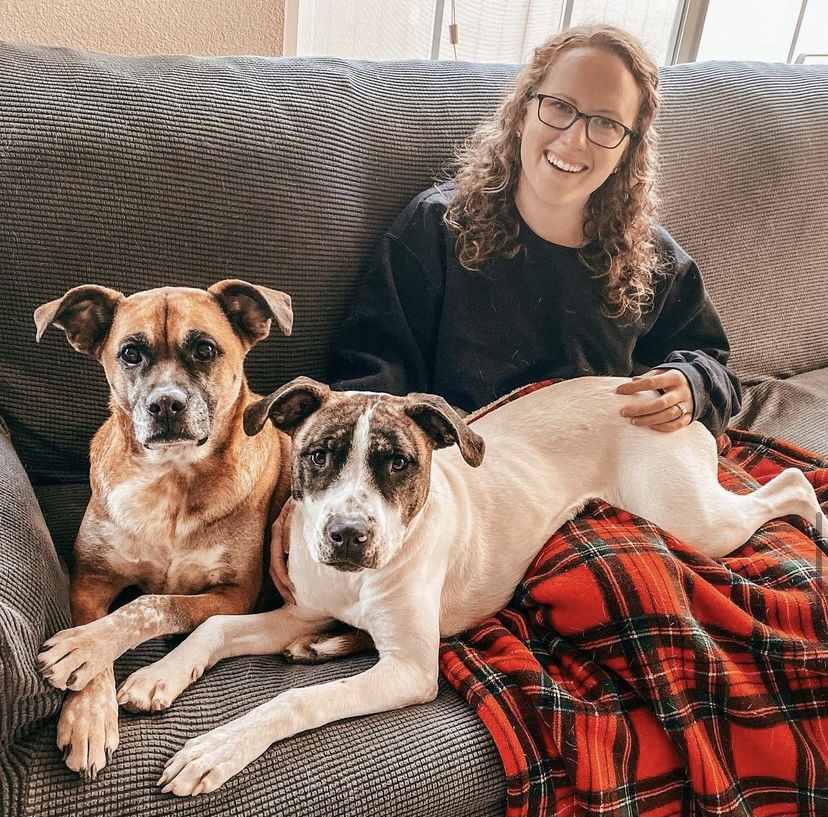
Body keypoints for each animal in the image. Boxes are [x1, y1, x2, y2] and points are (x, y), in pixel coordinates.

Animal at [34, 278, 292, 776]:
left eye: (205, 350)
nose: (166, 404)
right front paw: (88, 715)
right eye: (130, 353)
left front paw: (84, 646)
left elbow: (153, 603)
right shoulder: (89, 578)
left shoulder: (234, 594)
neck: (171, 478)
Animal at [118, 378, 820, 796]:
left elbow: (293, 701)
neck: (359, 581)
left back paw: (818, 515)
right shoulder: (298, 611)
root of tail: (640, 385)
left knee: (787, 482)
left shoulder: (408, 668)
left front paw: (218, 746)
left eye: (398, 463)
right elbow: (213, 624)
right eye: (317, 456)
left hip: (693, 521)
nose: (347, 535)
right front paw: (159, 676)